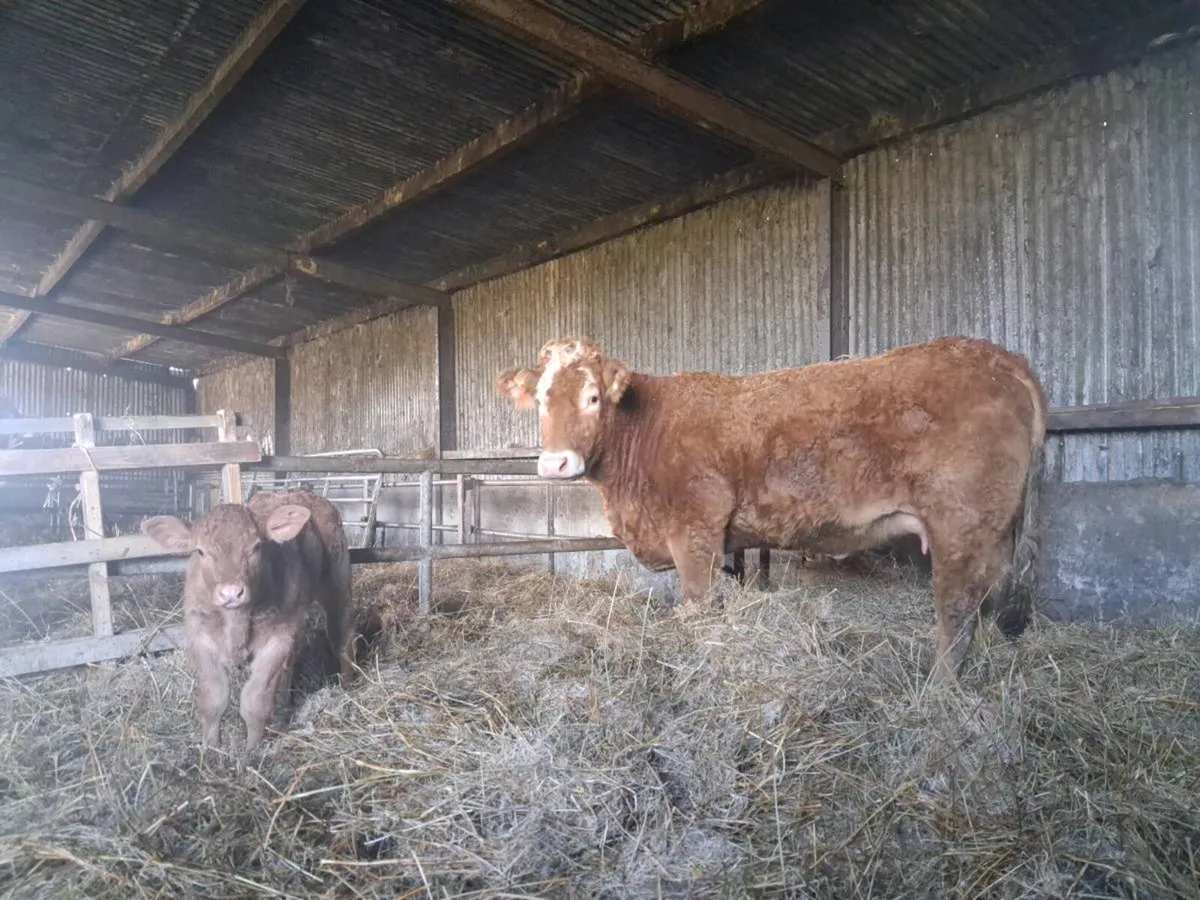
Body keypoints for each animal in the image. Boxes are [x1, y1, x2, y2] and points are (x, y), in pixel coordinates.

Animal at [141, 489, 355, 750]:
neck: (236, 623)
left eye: (256, 547)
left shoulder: (278, 639)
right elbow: (213, 698)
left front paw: (252, 749)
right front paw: (211, 748)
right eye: (201, 551)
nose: (231, 593)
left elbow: (255, 700)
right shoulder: (200, 637)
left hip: (337, 582)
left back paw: (347, 685)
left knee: (343, 635)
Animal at [495, 336, 1047, 683]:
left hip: (962, 524)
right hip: (994, 532)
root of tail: (994, 355)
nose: (555, 463)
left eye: (592, 397)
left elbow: (697, 606)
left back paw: (937, 693)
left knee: (956, 613)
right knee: (991, 599)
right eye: (540, 400)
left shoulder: (694, 528)